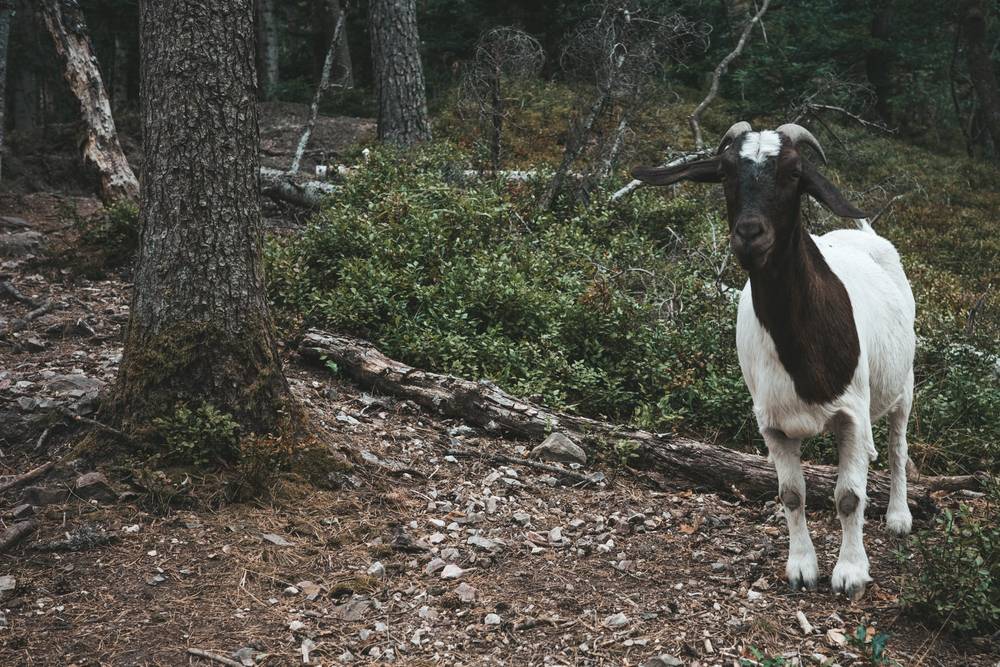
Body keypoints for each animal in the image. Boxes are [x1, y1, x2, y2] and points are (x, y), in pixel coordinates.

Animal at [632, 123, 916, 599]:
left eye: (795, 173)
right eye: (725, 172)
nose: (750, 233)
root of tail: (866, 236)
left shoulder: (851, 415)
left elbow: (848, 497)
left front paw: (851, 572)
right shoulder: (773, 425)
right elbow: (791, 494)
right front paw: (802, 567)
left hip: (905, 380)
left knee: (897, 443)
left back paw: (898, 516)